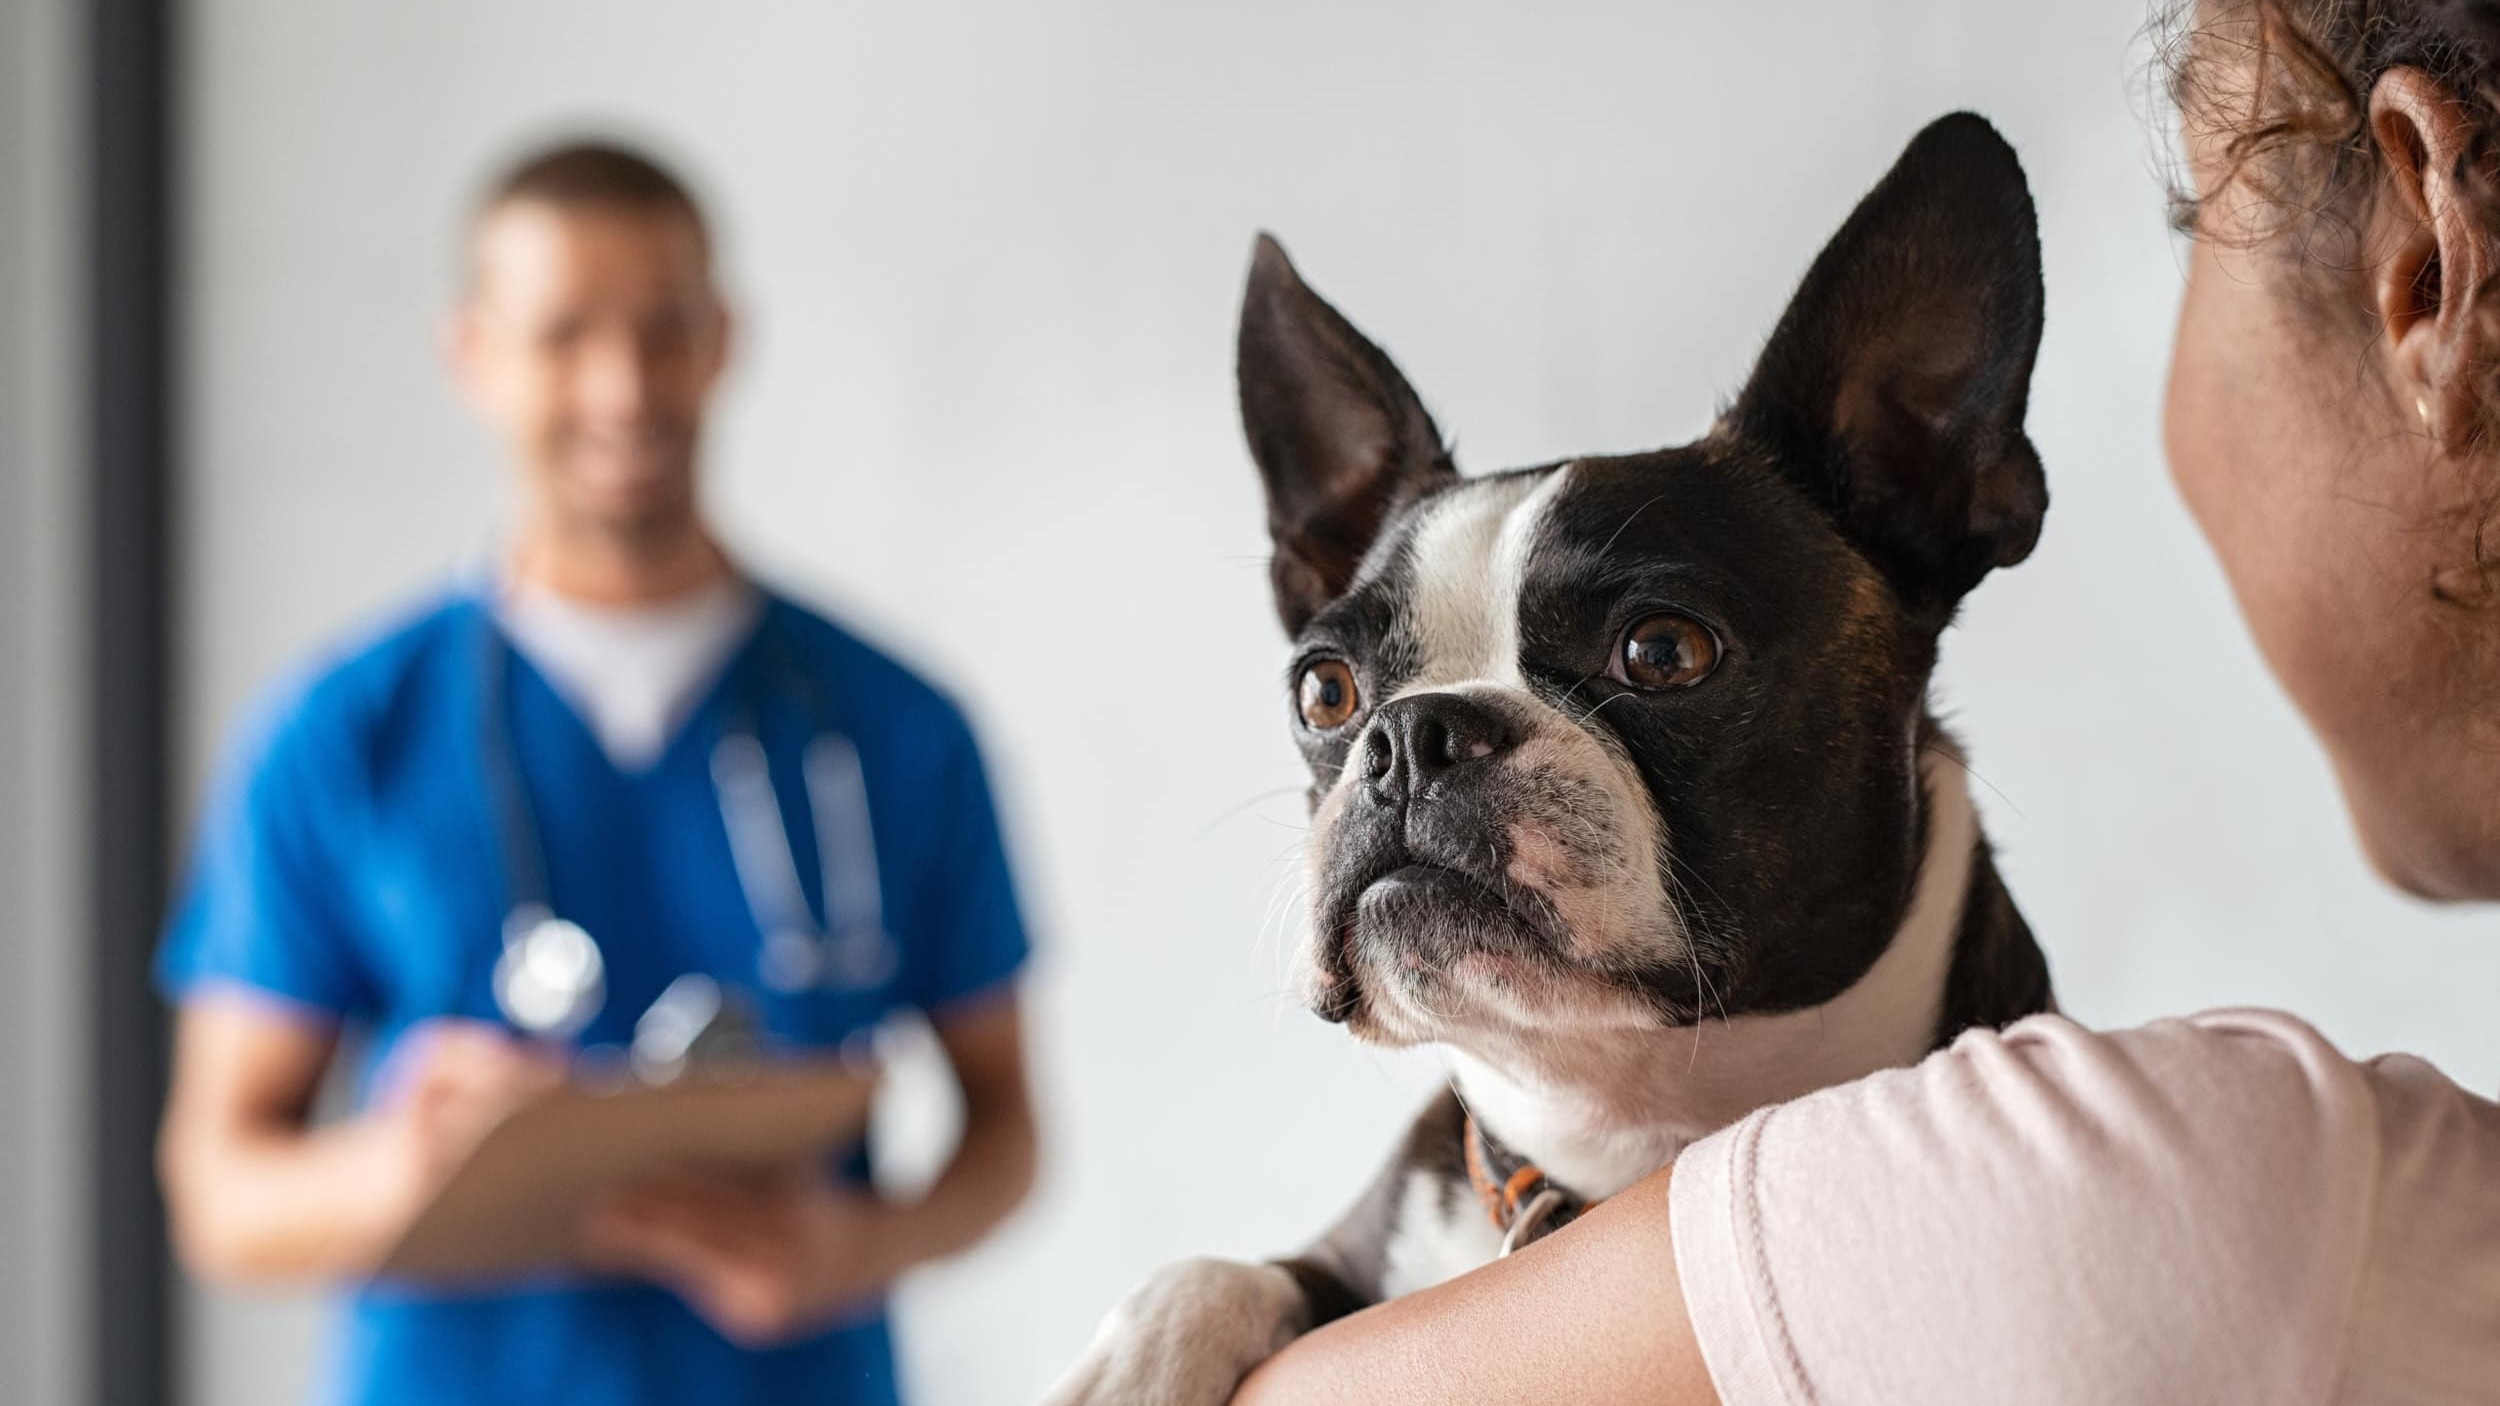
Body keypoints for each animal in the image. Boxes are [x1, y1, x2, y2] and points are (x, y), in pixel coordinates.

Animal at [1050, 111, 2050, 1400]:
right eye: (1325, 688)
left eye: (1664, 650)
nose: (1409, 734)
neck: (1609, 1134)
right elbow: (1228, 1267)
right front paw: (1134, 1359)